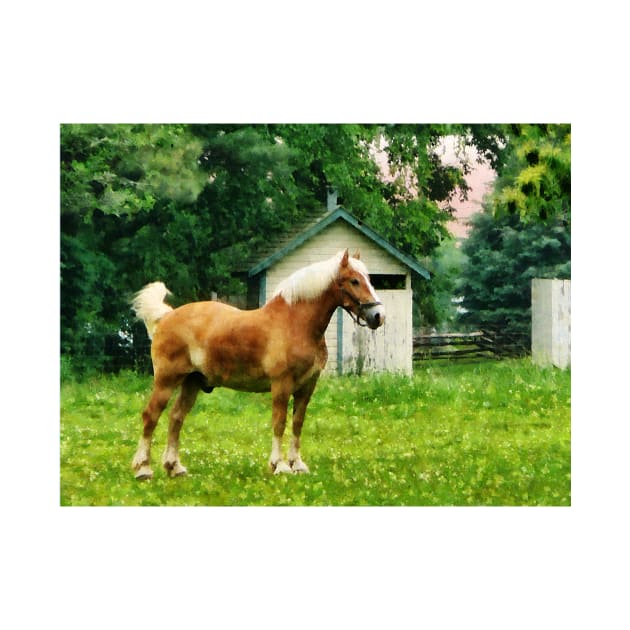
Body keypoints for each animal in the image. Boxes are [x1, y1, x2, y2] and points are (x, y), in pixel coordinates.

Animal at [132, 249, 386, 482]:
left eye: (368, 279)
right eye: (354, 280)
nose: (378, 315)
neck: (295, 323)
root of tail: (166, 317)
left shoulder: (307, 387)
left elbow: (297, 423)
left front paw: (297, 464)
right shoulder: (281, 385)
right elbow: (279, 422)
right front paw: (279, 465)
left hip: (191, 383)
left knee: (176, 418)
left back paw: (174, 467)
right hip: (166, 380)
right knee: (151, 416)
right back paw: (143, 469)